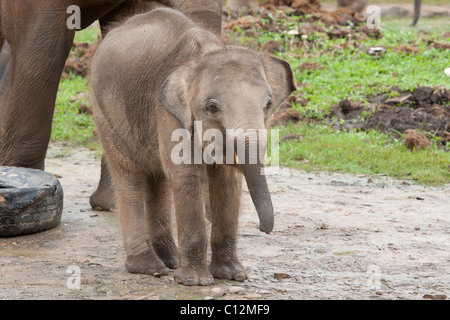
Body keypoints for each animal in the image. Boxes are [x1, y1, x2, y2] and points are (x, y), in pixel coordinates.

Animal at [90, 7, 296, 286]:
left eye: (269, 104)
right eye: (212, 107)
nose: (264, 229)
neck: (207, 51)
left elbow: (227, 180)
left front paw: (231, 275)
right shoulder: (167, 112)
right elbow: (187, 175)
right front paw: (196, 282)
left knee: (157, 178)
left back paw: (170, 262)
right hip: (104, 114)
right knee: (129, 175)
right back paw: (148, 267)